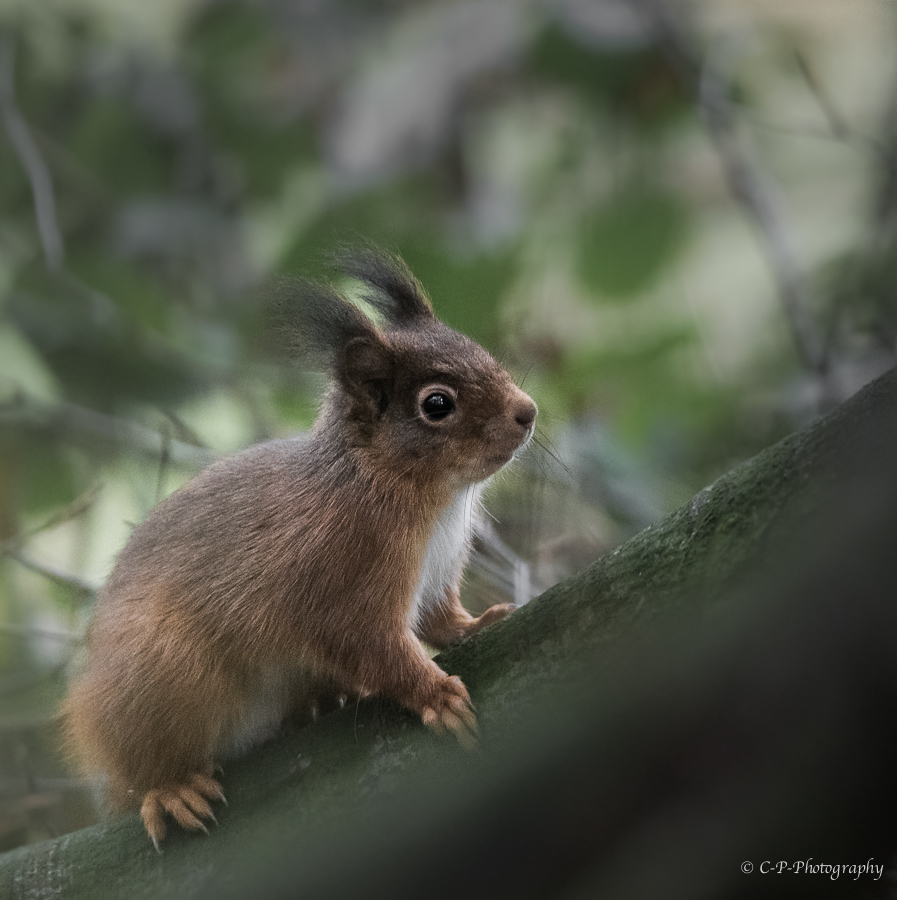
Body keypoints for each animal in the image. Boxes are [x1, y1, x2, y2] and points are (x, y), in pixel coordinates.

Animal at [65, 244, 540, 844]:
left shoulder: (435, 573)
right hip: (160, 674)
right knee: (141, 769)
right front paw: (434, 694)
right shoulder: (340, 570)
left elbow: (437, 618)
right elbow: (367, 642)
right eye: (437, 404)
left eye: (477, 347)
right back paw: (168, 788)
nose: (528, 411)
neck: (428, 498)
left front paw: (478, 623)